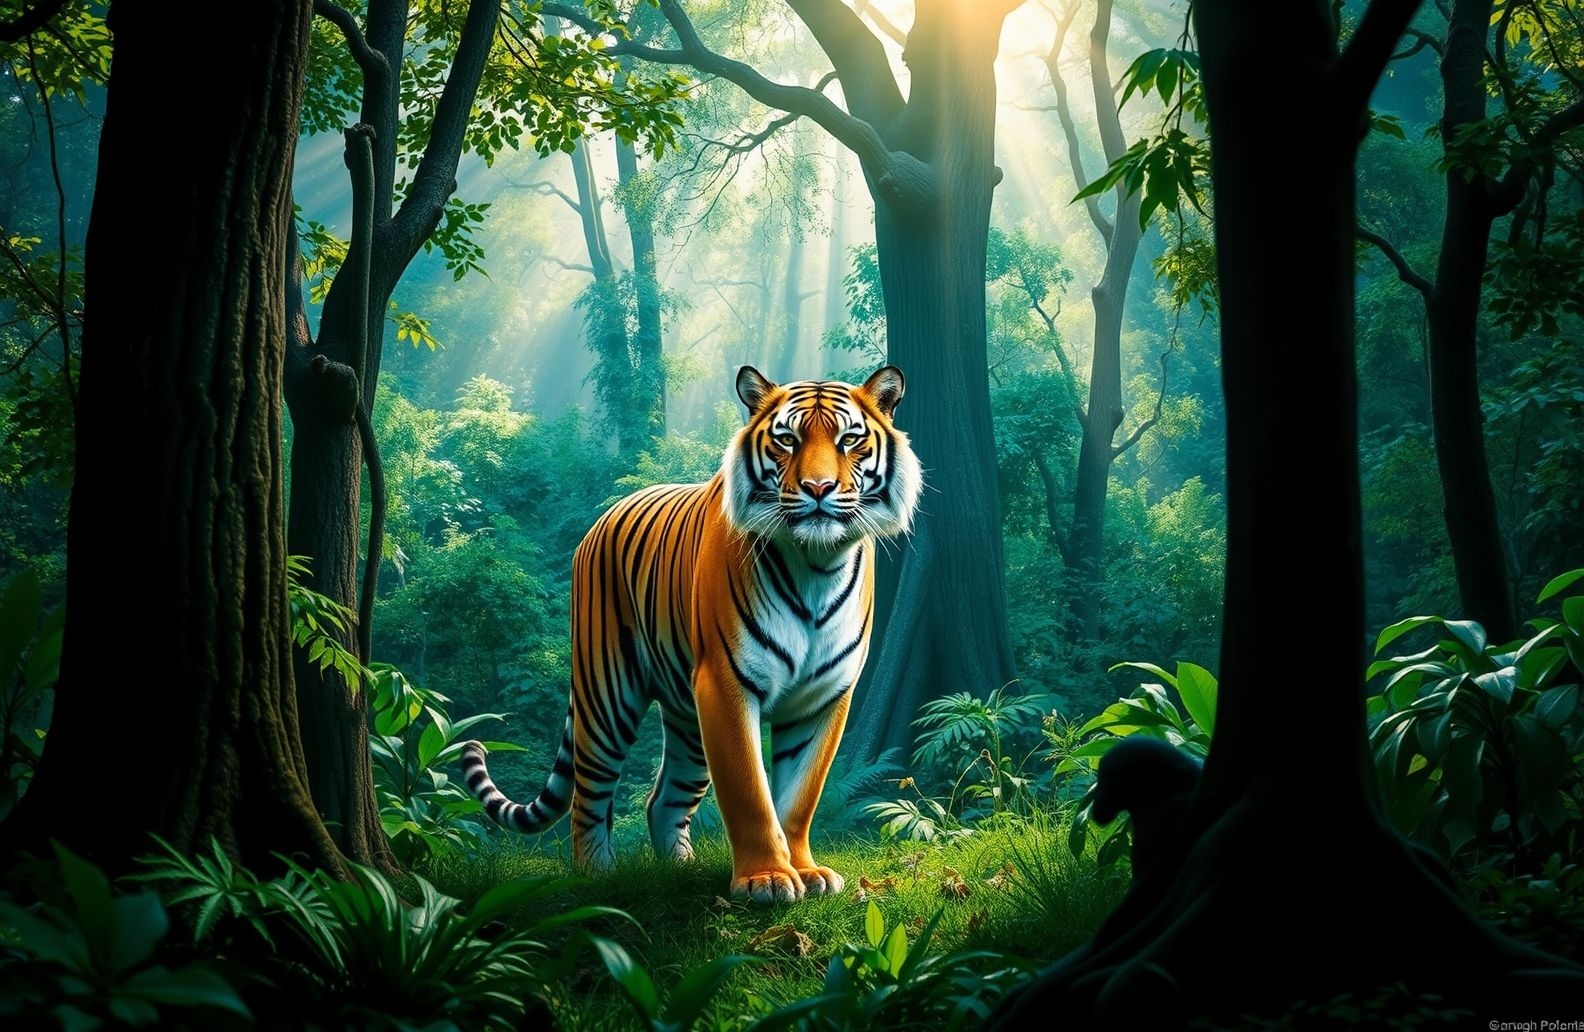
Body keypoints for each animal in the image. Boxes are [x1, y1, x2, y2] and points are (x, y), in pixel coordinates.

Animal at [461, 365, 922, 903]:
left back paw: (679, 871)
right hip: (607, 696)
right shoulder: (725, 684)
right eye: (787, 439)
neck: (816, 563)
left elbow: (800, 797)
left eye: (849, 439)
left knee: (663, 798)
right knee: (588, 796)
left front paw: (806, 871)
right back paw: (596, 876)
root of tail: (605, 515)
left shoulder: (824, 697)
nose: (818, 487)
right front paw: (766, 879)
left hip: (688, 718)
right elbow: (749, 791)